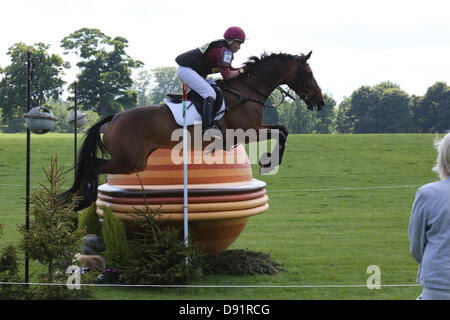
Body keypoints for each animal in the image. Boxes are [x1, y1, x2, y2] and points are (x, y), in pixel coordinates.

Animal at [61, 50, 326, 210]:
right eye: (309, 73)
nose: (320, 102)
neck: (249, 90)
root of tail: (114, 117)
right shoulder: (247, 130)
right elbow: (282, 132)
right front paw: (268, 161)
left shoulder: (254, 128)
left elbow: (283, 130)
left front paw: (267, 161)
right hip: (129, 161)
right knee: (90, 166)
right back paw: (81, 200)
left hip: (135, 161)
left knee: (90, 165)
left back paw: (80, 199)